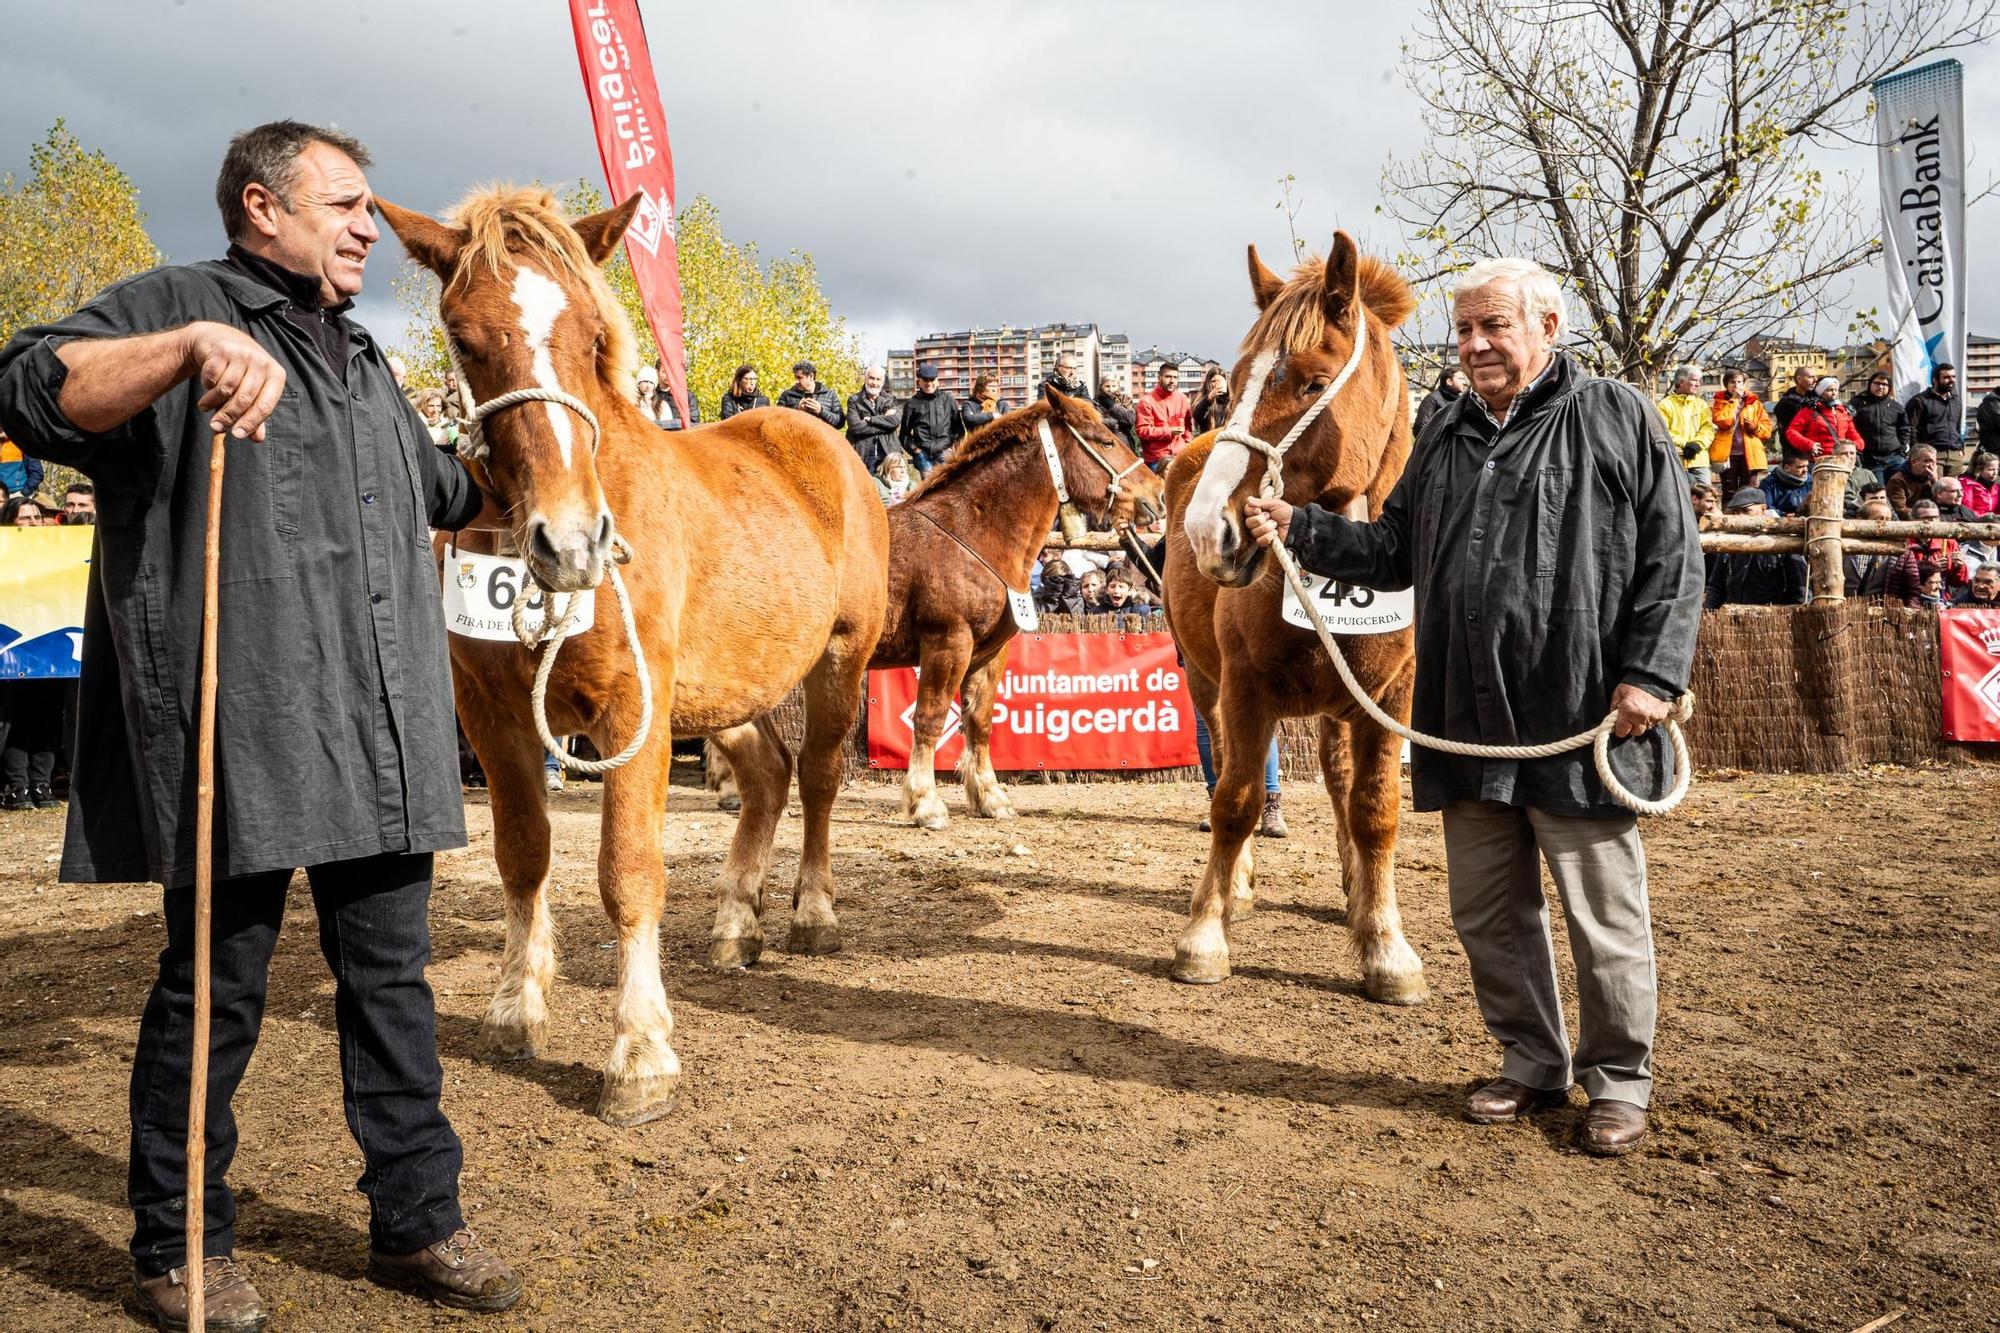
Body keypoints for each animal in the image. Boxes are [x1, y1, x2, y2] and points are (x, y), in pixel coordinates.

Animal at [386, 189, 888, 1120]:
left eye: (592, 334)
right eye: (463, 338)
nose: (571, 541)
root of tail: (820, 441)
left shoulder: (633, 713)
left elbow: (627, 872)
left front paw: (641, 1050)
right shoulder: (491, 713)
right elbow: (523, 853)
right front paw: (516, 1004)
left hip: (837, 662)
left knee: (818, 777)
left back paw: (811, 911)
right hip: (726, 687)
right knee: (767, 776)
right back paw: (736, 921)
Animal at [872, 378, 1168, 824]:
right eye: (1105, 440)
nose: (1158, 494)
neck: (970, 534)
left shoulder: (989, 652)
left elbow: (978, 722)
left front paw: (990, 796)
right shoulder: (947, 643)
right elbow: (930, 718)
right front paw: (925, 802)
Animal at [1168, 231, 1432, 996]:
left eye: (1314, 383)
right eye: (1231, 381)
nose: (1210, 529)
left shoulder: (1392, 695)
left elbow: (1375, 808)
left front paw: (1384, 943)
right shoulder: (1244, 688)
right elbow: (1234, 799)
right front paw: (1205, 935)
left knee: (1341, 778)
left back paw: (1354, 889)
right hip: (1205, 681)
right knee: (1222, 768)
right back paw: (1237, 886)